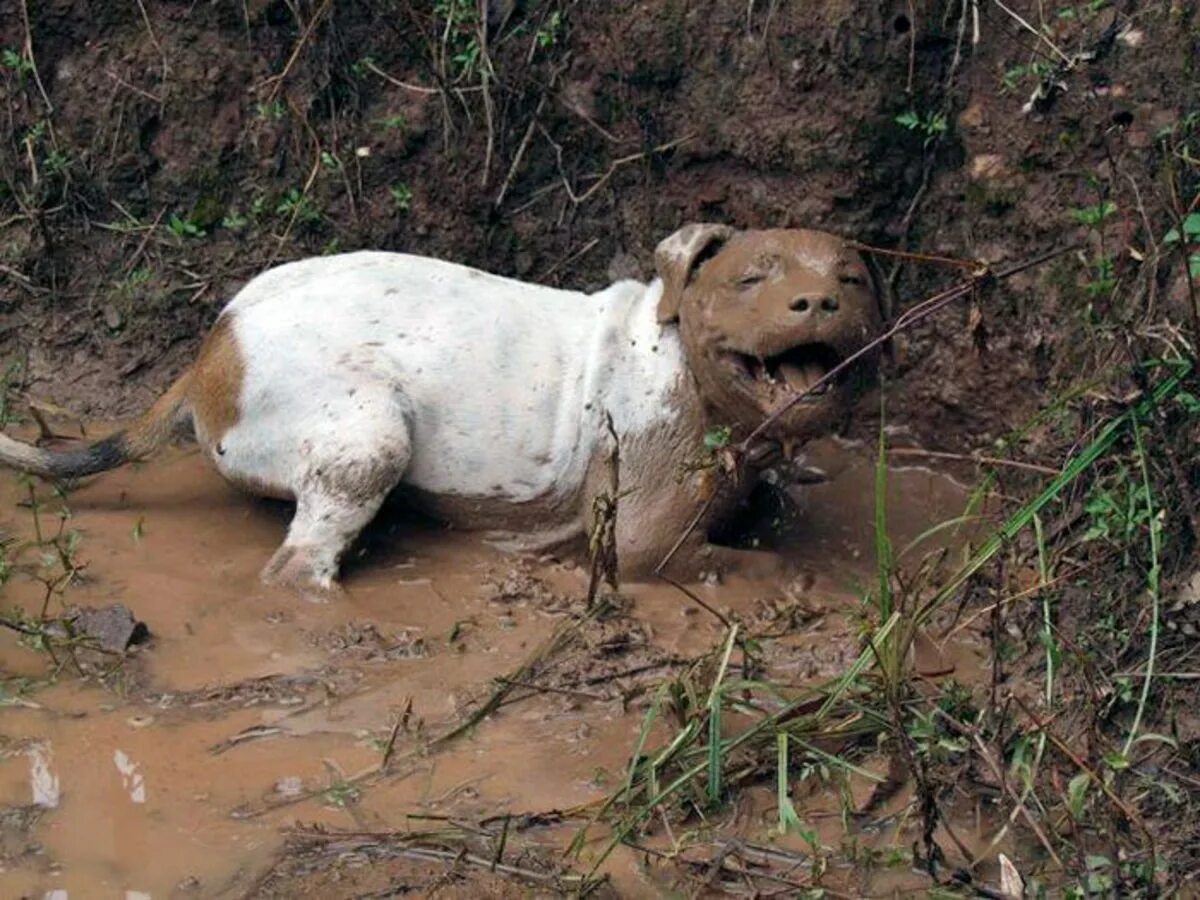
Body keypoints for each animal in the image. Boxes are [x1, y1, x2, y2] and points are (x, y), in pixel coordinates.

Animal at [0, 225, 883, 592]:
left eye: (854, 279)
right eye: (751, 277)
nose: (818, 302)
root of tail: (211, 353)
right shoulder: (644, 545)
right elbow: (746, 562)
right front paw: (804, 581)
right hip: (370, 435)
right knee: (297, 566)